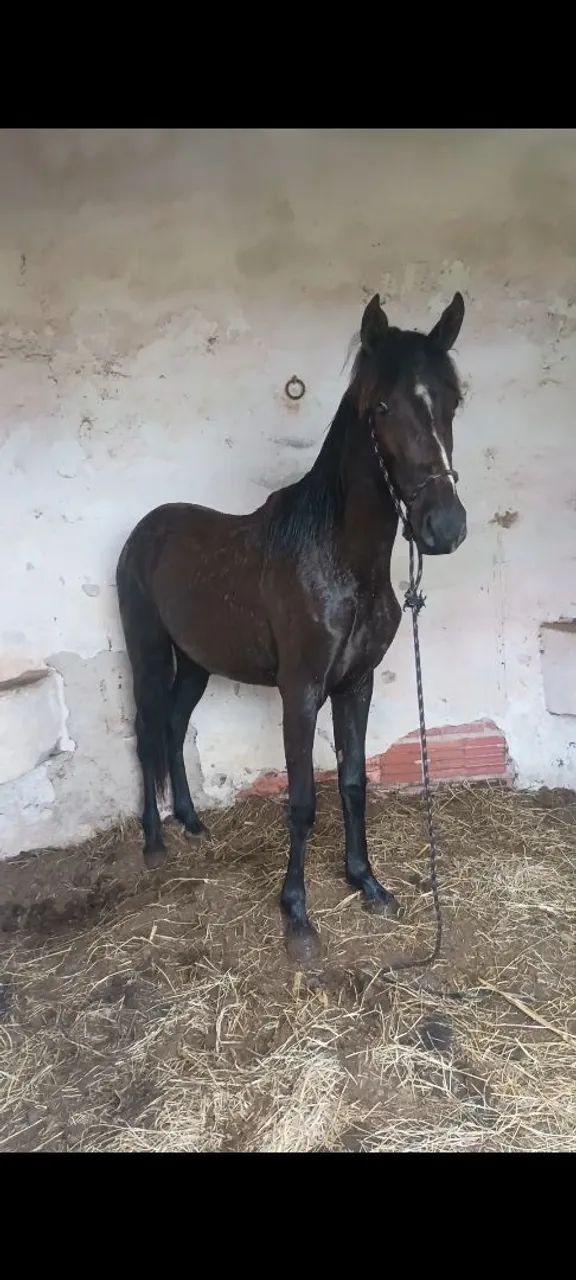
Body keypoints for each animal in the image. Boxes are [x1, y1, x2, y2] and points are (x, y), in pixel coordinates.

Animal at [116, 292, 467, 961]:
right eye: (382, 406)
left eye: (453, 400)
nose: (445, 527)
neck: (339, 558)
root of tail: (144, 531)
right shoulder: (300, 692)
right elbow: (302, 800)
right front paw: (297, 916)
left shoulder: (356, 684)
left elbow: (353, 783)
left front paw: (367, 883)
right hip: (147, 653)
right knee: (147, 731)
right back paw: (152, 843)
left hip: (196, 662)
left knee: (173, 724)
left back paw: (192, 823)